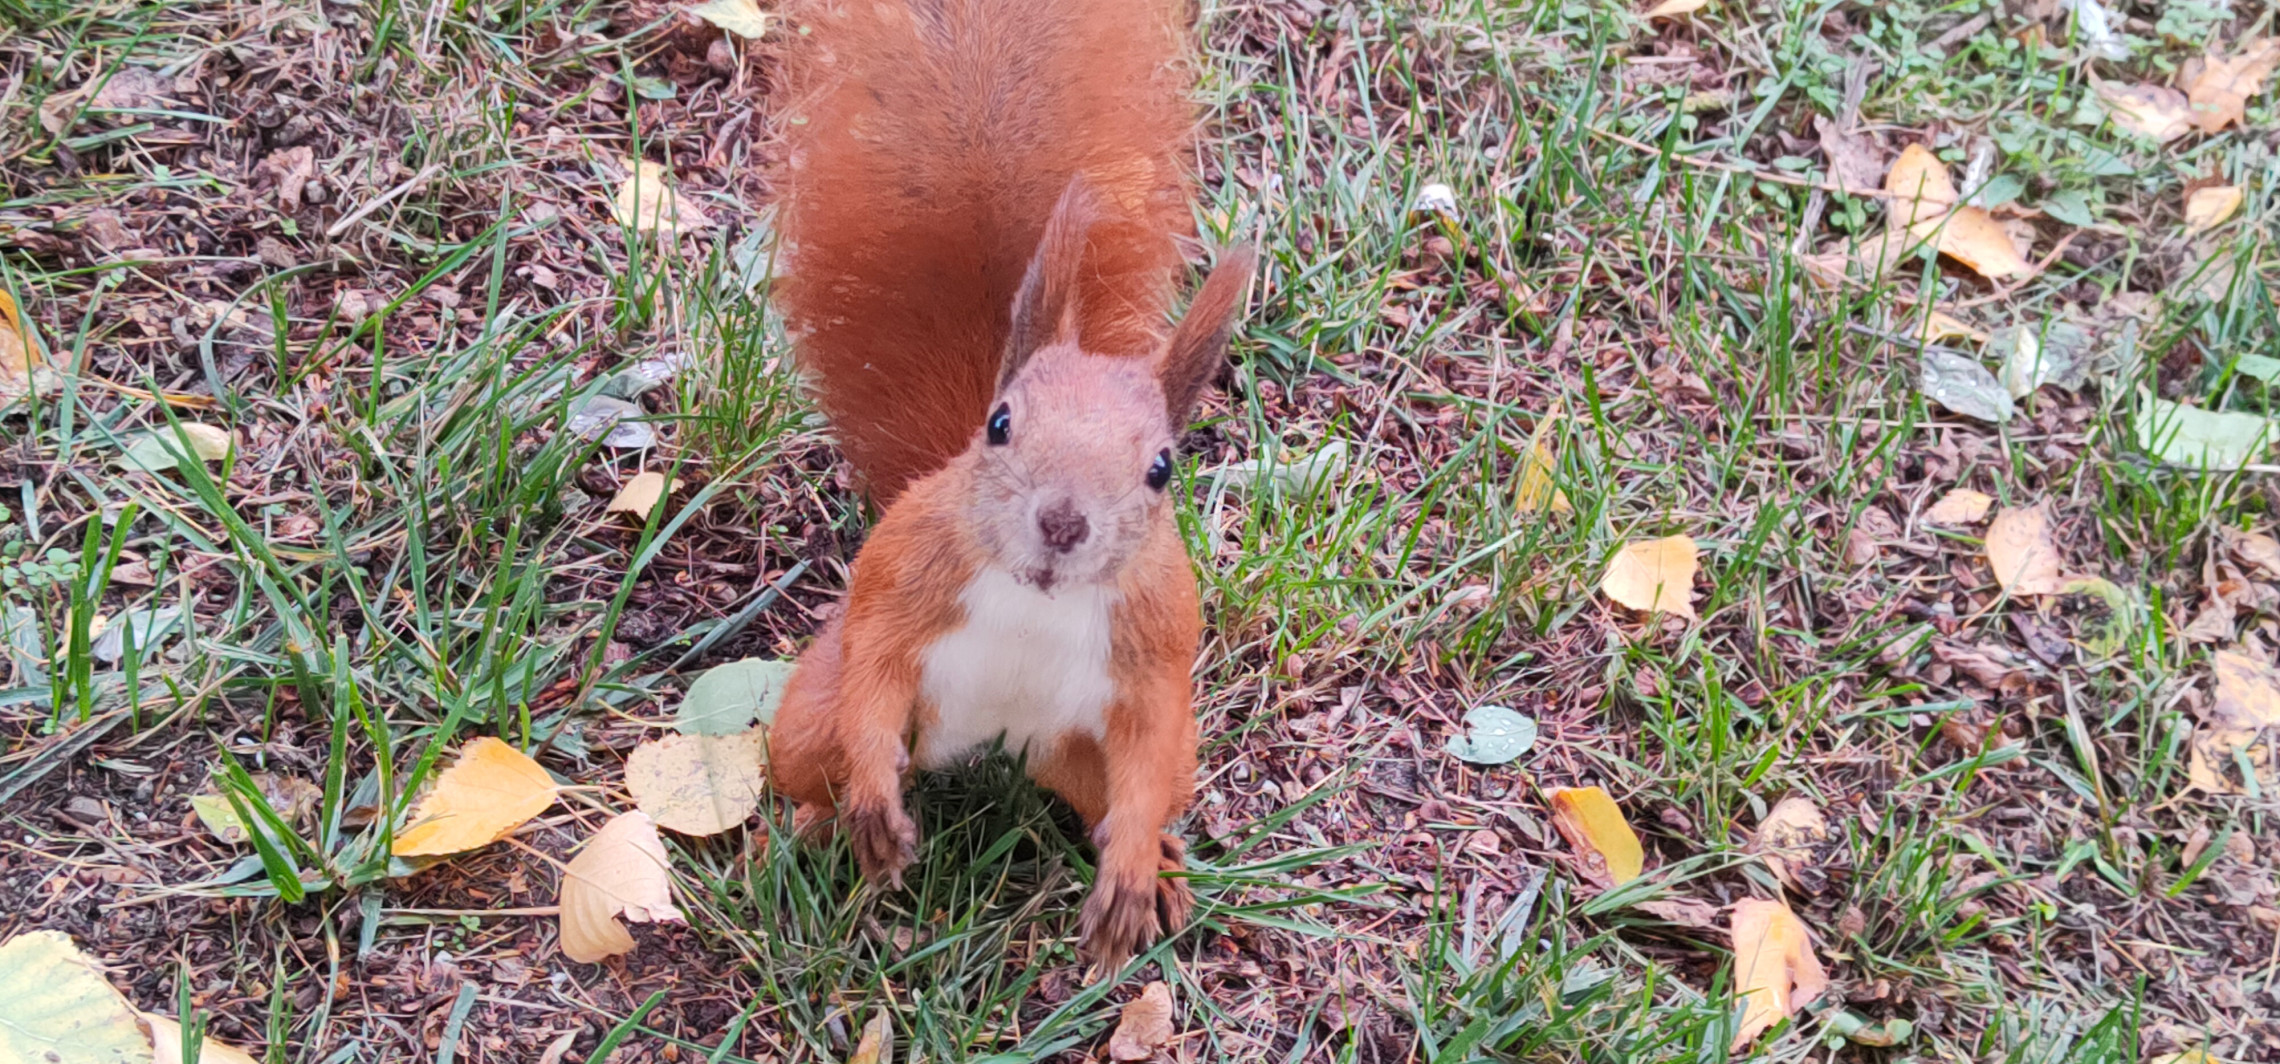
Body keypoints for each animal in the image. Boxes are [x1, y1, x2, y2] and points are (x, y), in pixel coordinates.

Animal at [766, 0, 1267, 970]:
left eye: (1162, 467)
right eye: (1000, 425)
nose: (1063, 522)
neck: (1037, 599)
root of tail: (985, 747)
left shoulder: (1158, 646)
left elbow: (1148, 744)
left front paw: (1132, 873)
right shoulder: (900, 580)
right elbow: (876, 673)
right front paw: (872, 806)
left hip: (1096, 754)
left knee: (1128, 789)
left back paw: (1162, 866)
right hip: (810, 722)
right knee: (824, 744)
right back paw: (825, 819)